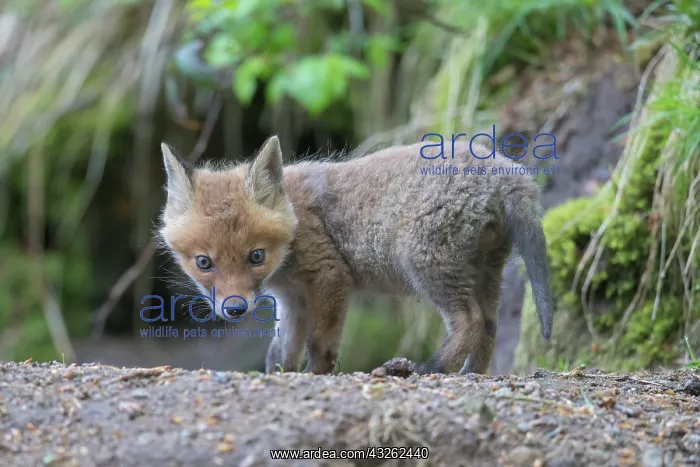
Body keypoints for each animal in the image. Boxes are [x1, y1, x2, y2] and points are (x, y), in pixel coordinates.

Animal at [158, 135, 553, 375]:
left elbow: (319, 343)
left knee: (470, 322)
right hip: (483, 273)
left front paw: (316, 374)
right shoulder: (292, 299)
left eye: (256, 256)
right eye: (204, 263)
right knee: (488, 325)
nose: (235, 309)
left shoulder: (330, 276)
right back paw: (471, 374)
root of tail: (504, 168)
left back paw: (429, 369)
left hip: (427, 266)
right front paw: (280, 375)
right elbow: (281, 350)